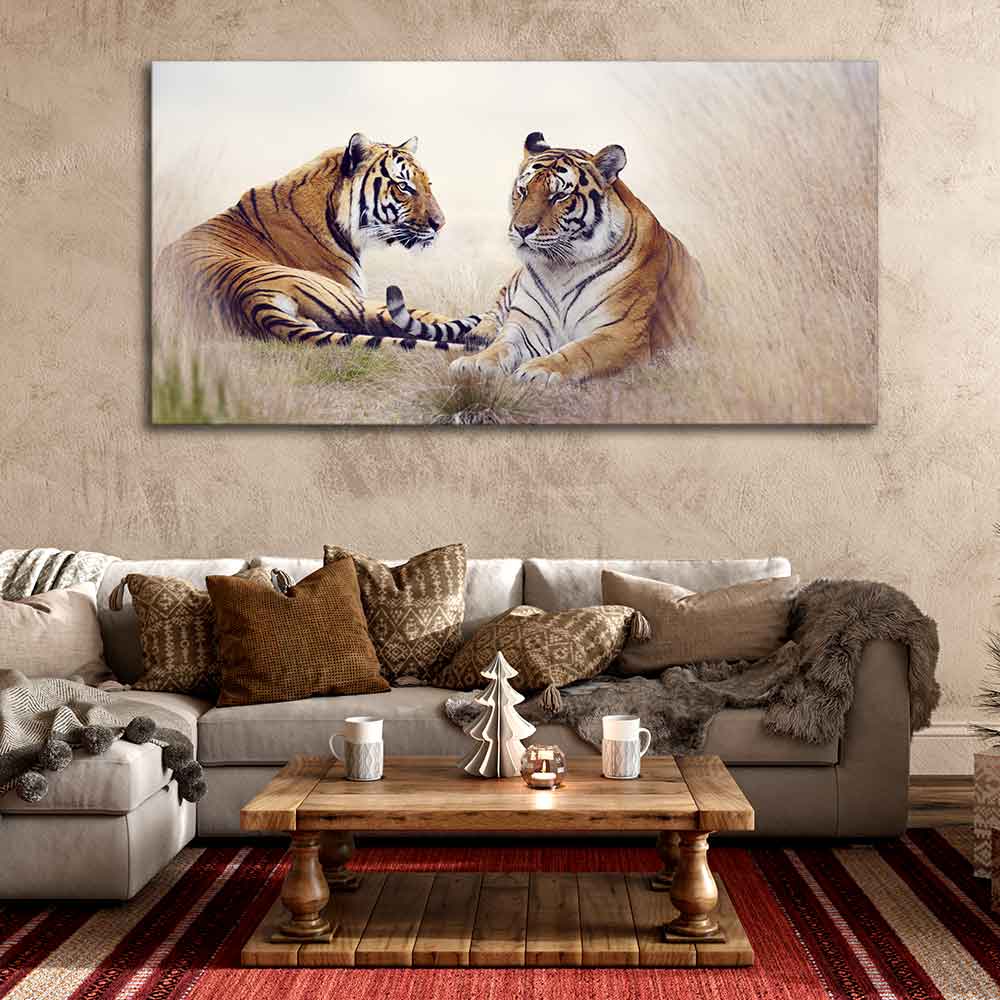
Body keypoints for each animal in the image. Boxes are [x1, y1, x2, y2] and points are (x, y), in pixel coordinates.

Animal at [396, 131, 706, 384]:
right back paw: (479, 335)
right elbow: (501, 346)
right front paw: (475, 363)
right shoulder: (525, 324)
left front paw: (540, 369)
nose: (521, 229)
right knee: (494, 311)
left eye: (558, 196)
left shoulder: (622, 332)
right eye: (522, 191)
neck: (561, 268)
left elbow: (580, 350)